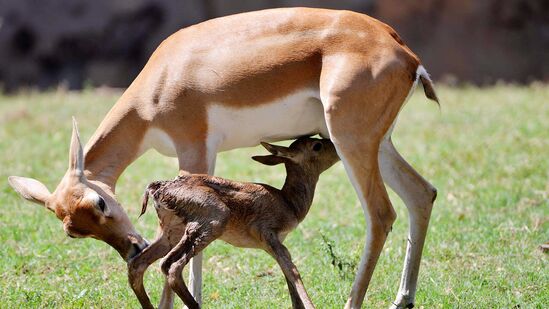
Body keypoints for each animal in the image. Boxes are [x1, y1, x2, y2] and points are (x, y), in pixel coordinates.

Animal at [7, 7, 436, 308]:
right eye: (72, 231)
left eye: (100, 202)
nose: (131, 246)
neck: (163, 78)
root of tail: (401, 48)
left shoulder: (194, 152)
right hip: (374, 143)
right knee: (422, 193)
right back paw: (402, 300)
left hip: (349, 141)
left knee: (381, 213)